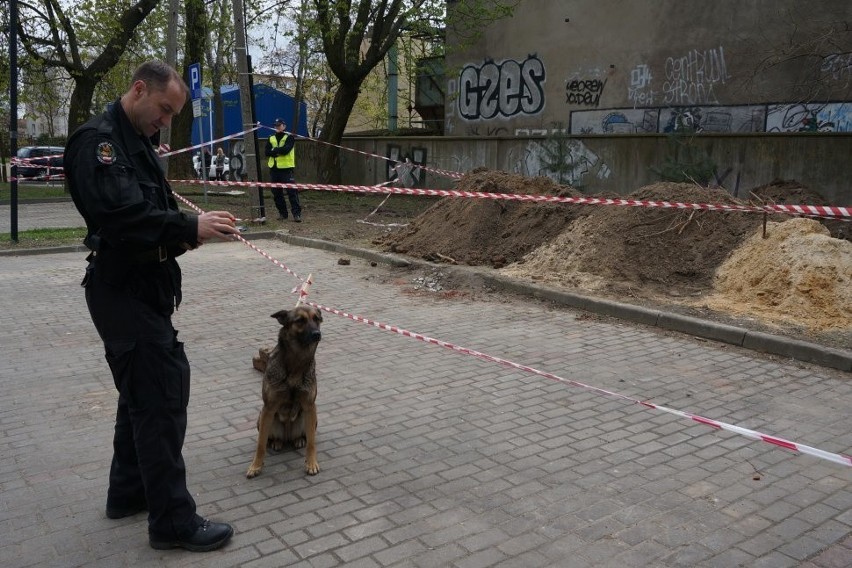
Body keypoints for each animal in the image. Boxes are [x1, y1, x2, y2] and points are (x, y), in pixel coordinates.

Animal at [250, 306, 326, 480]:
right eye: (300, 320)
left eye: (316, 319)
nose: (317, 334)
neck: (296, 363)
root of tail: (287, 435)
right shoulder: (268, 408)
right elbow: (260, 444)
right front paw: (255, 466)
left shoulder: (310, 406)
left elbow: (312, 443)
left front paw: (311, 464)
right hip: (262, 418)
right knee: (269, 438)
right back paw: (276, 442)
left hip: (312, 418)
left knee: (305, 436)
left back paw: (298, 440)